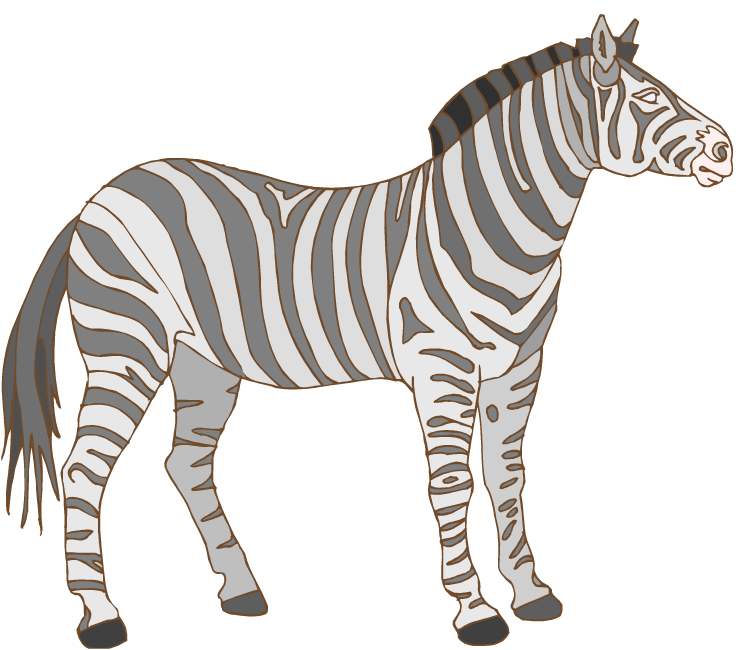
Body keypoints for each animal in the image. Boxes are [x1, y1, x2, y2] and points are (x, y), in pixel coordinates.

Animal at [1, 14, 733, 649]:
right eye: (646, 97)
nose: (727, 149)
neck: (503, 231)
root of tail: (104, 192)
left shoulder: (518, 369)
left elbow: (507, 478)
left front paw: (531, 596)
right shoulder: (442, 367)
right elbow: (452, 484)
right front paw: (475, 611)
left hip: (203, 361)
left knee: (185, 461)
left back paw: (240, 590)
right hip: (126, 347)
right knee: (86, 468)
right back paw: (101, 617)